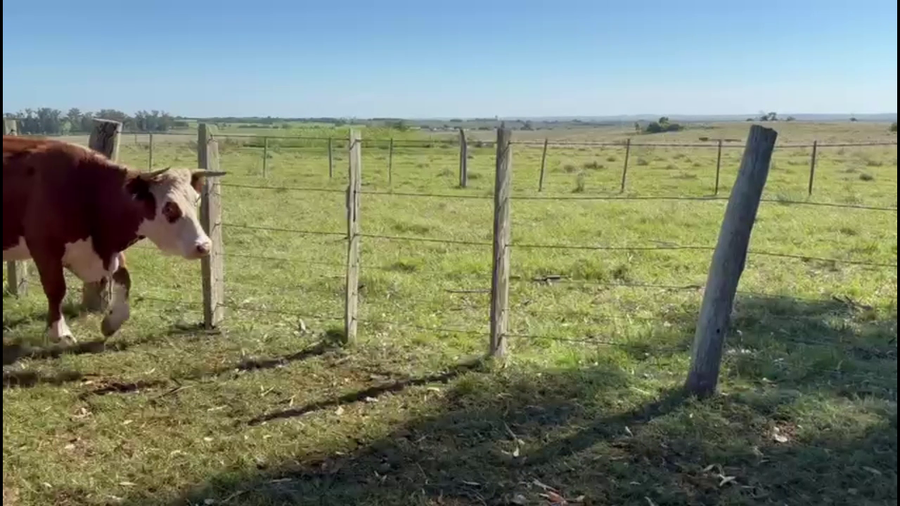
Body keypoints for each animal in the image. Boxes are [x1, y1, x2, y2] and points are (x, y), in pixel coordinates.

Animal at [3, 135, 225, 345]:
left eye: (196, 200)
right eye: (169, 207)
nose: (204, 246)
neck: (86, 190)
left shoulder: (107, 250)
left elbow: (125, 278)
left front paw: (113, 321)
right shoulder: (44, 247)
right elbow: (56, 289)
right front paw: (60, 333)